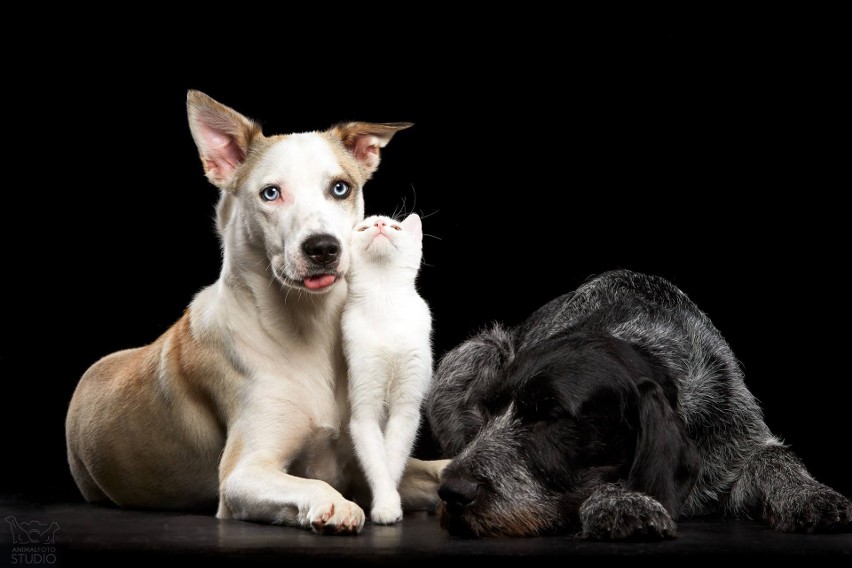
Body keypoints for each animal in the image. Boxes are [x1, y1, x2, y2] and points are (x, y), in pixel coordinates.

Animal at [342, 213, 432, 524]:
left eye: (394, 227)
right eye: (362, 228)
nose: (380, 224)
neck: (385, 301)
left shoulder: (408, 407)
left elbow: (392, 457)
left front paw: (389, 501)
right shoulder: (363, 409)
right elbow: (376, 460)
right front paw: (385, 504)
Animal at [430, 270, 848, 536]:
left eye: (552, 415)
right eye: (487, 409)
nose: (452, 491)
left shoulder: (735, 441)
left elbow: (774, 457)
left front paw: (809, 495)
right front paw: (622, 502)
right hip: (475, 351)